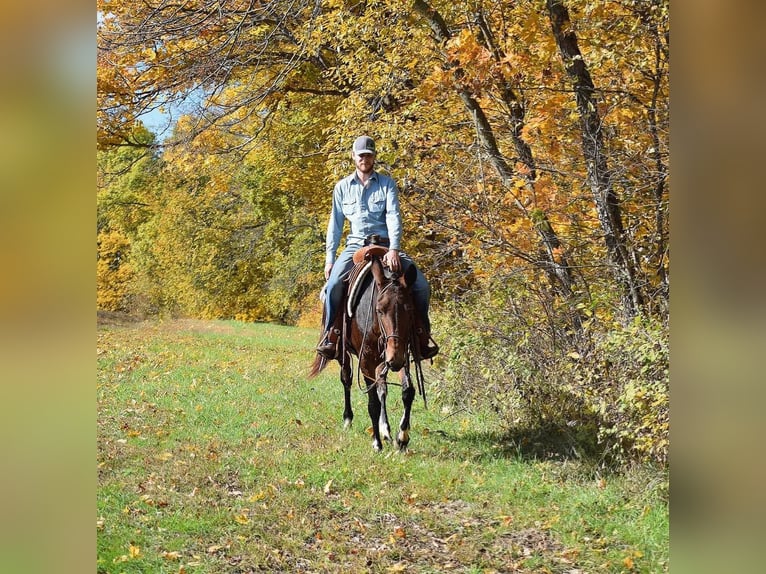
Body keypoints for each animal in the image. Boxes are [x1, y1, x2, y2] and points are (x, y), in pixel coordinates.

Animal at [308, 253, 426, 454]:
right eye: (379, 309)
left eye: (410, 310)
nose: (394, 358)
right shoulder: (366, 361)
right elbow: (373, 403)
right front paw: (376, 443)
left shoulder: (403, 353)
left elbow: (407, 392)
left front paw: (402, 437)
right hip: (343, 354)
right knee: (346, 380)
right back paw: (348, 419)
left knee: (382, 387)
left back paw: (385, 429)